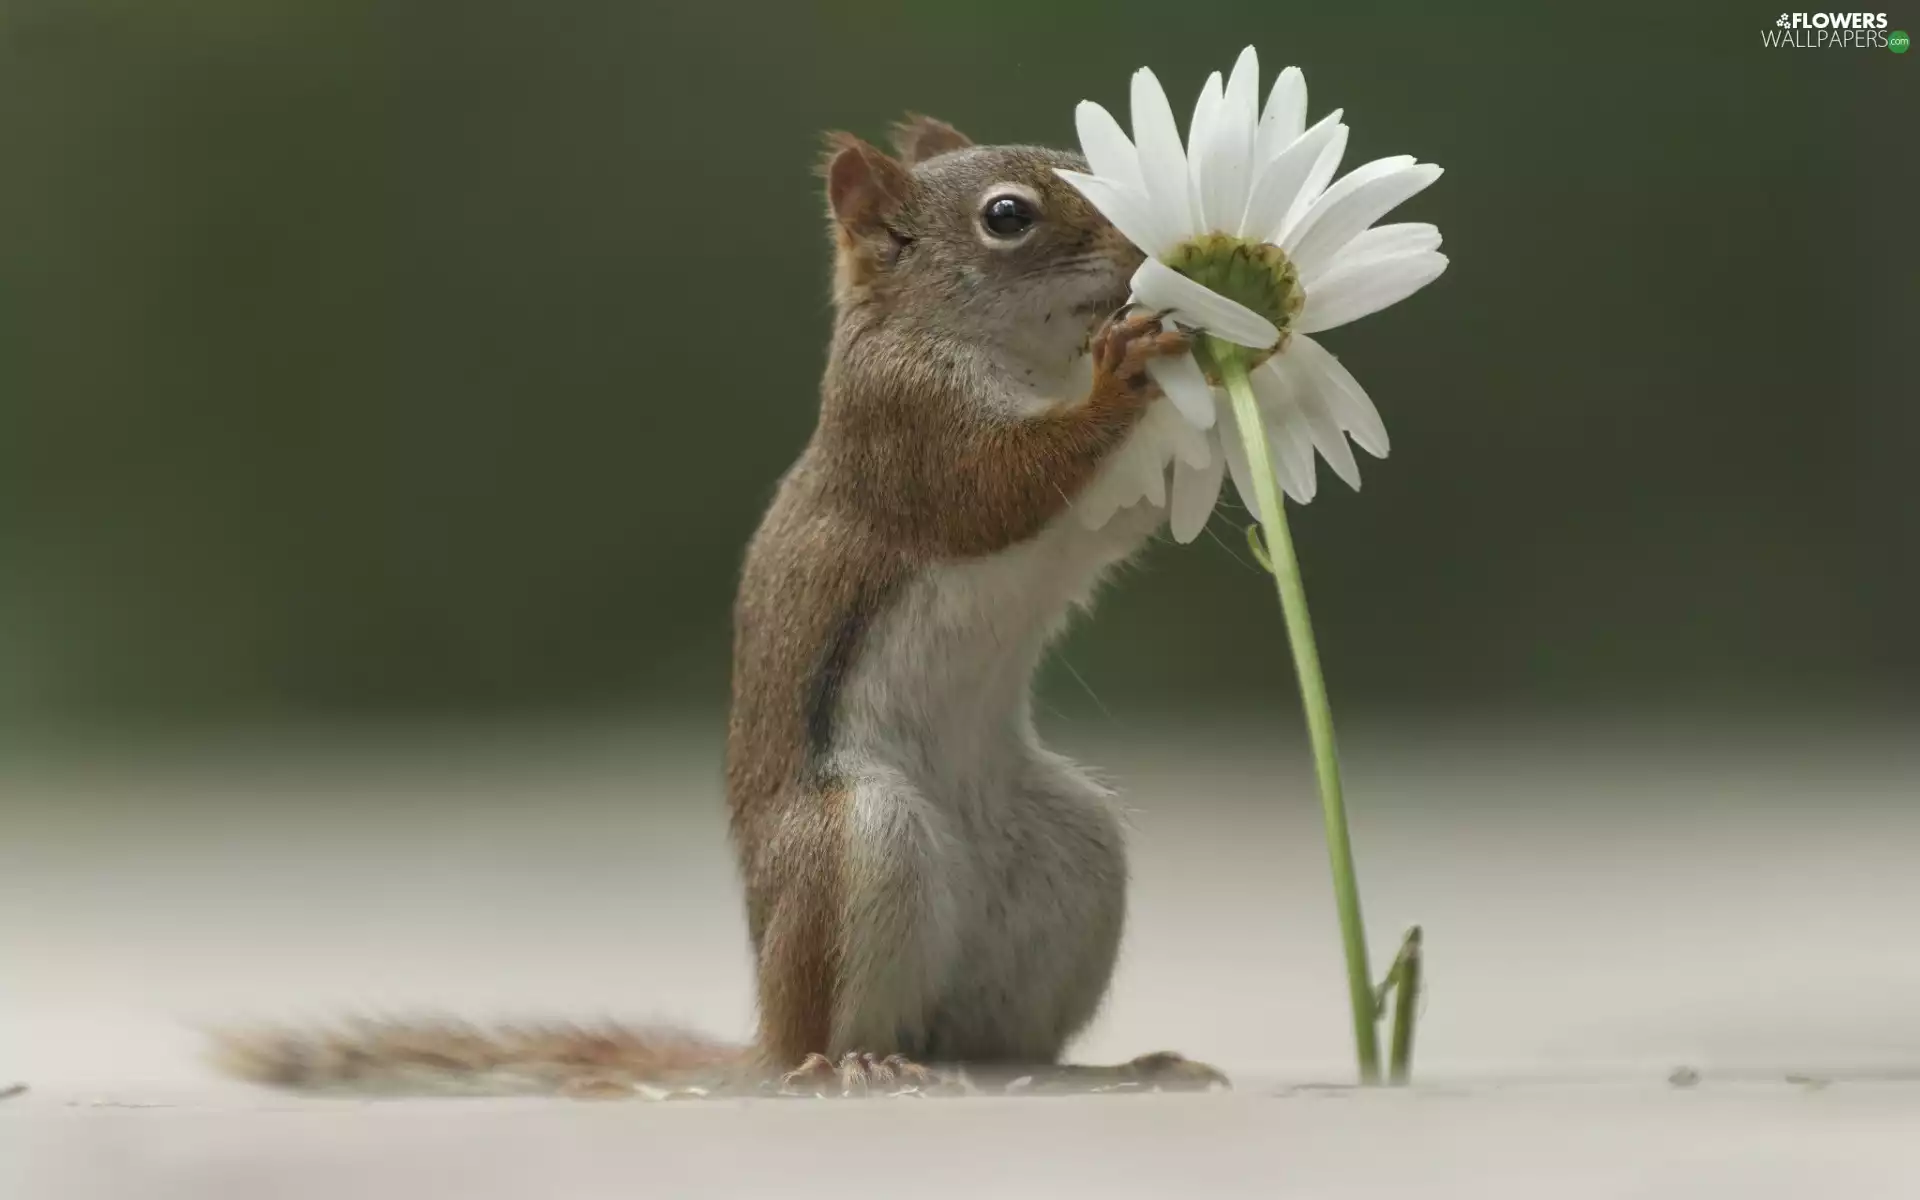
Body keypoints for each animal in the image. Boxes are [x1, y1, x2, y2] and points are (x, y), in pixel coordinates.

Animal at [210, 115, 1227, 1099]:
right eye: (1008, 216)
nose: (1145, 249)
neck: (1019, 358)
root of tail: (762, 1042)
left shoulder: (1077, 503)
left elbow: (1120, 511)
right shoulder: (908, 431)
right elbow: (1000, 490)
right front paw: (1127, 372)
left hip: (1071, 858)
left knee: (993, 1042)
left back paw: (1107, 1068)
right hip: (854, 844)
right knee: (832, 1031)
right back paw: (854, 1066)